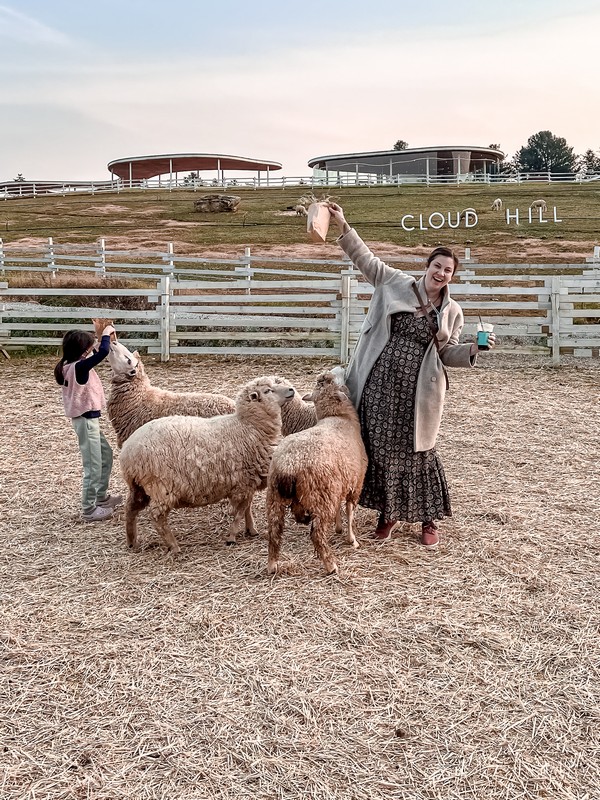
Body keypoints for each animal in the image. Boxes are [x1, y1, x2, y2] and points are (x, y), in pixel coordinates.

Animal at [120, 374, 296, 552]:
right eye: (267, 390)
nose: (291, 390)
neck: (249, 426)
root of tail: (127, 452)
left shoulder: (247, 482)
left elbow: (247, 509)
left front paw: (251, 530)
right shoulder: (243, 483)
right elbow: (240, 512)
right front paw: (232, 536)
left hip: (138, 486)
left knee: (130, 509)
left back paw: (132, 541)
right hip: (161, 486)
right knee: (157, 517)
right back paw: (173, 546)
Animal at [266, 368, 368, 576]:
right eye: (335, 380)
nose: (341, 368)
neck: (337, 416)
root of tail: (289, 466)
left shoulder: (341, 482)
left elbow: (340, 509)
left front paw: (338, 527)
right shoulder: (356, 483)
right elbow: (349, 511)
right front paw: (351, 539)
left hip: (275, 497)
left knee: (274, 531)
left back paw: (272, 564)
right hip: (322, 496)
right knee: (317, 534)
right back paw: (331, 565)